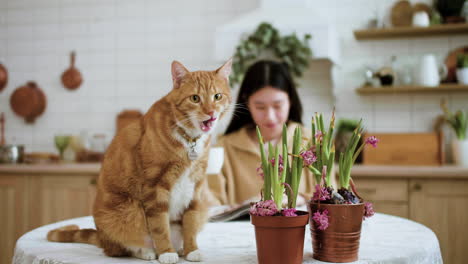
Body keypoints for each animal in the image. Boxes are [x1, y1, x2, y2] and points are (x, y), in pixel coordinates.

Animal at [46, 59, 233, 264]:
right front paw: (166, 253)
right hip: (125, 213)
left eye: (217, 96)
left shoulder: (196, 187)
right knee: (124, 245)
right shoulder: (154, 187)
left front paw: (192, 249)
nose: (211, 112)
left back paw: (180, 248)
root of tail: (102, 238)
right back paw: (149, 252)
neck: (189, 140)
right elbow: (160, 226)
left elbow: (190, 222)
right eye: (195, 98)